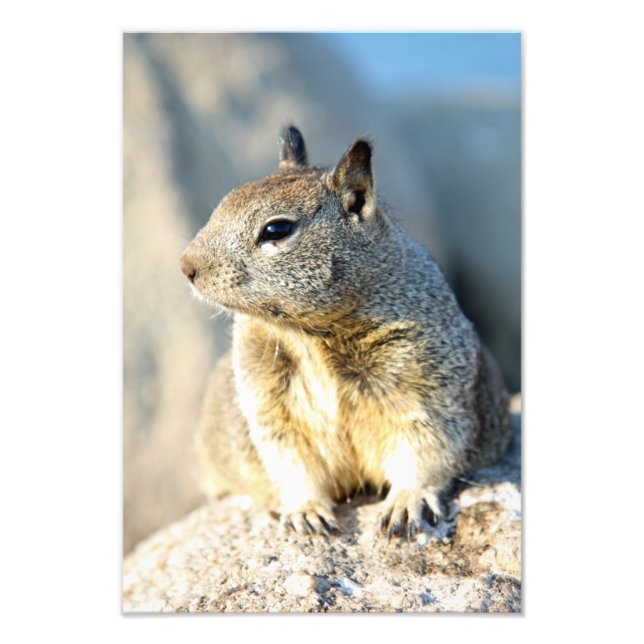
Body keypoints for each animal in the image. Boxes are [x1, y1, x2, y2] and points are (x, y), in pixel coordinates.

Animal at [180, 125, 511, 539]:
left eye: (277, 229)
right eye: (223, 203)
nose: (186, 265)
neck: (309, 335)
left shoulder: (428, 381)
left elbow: (426, 448)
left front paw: (407, 500)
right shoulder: (266, 400)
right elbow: (290, 460)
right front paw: (305, 510)